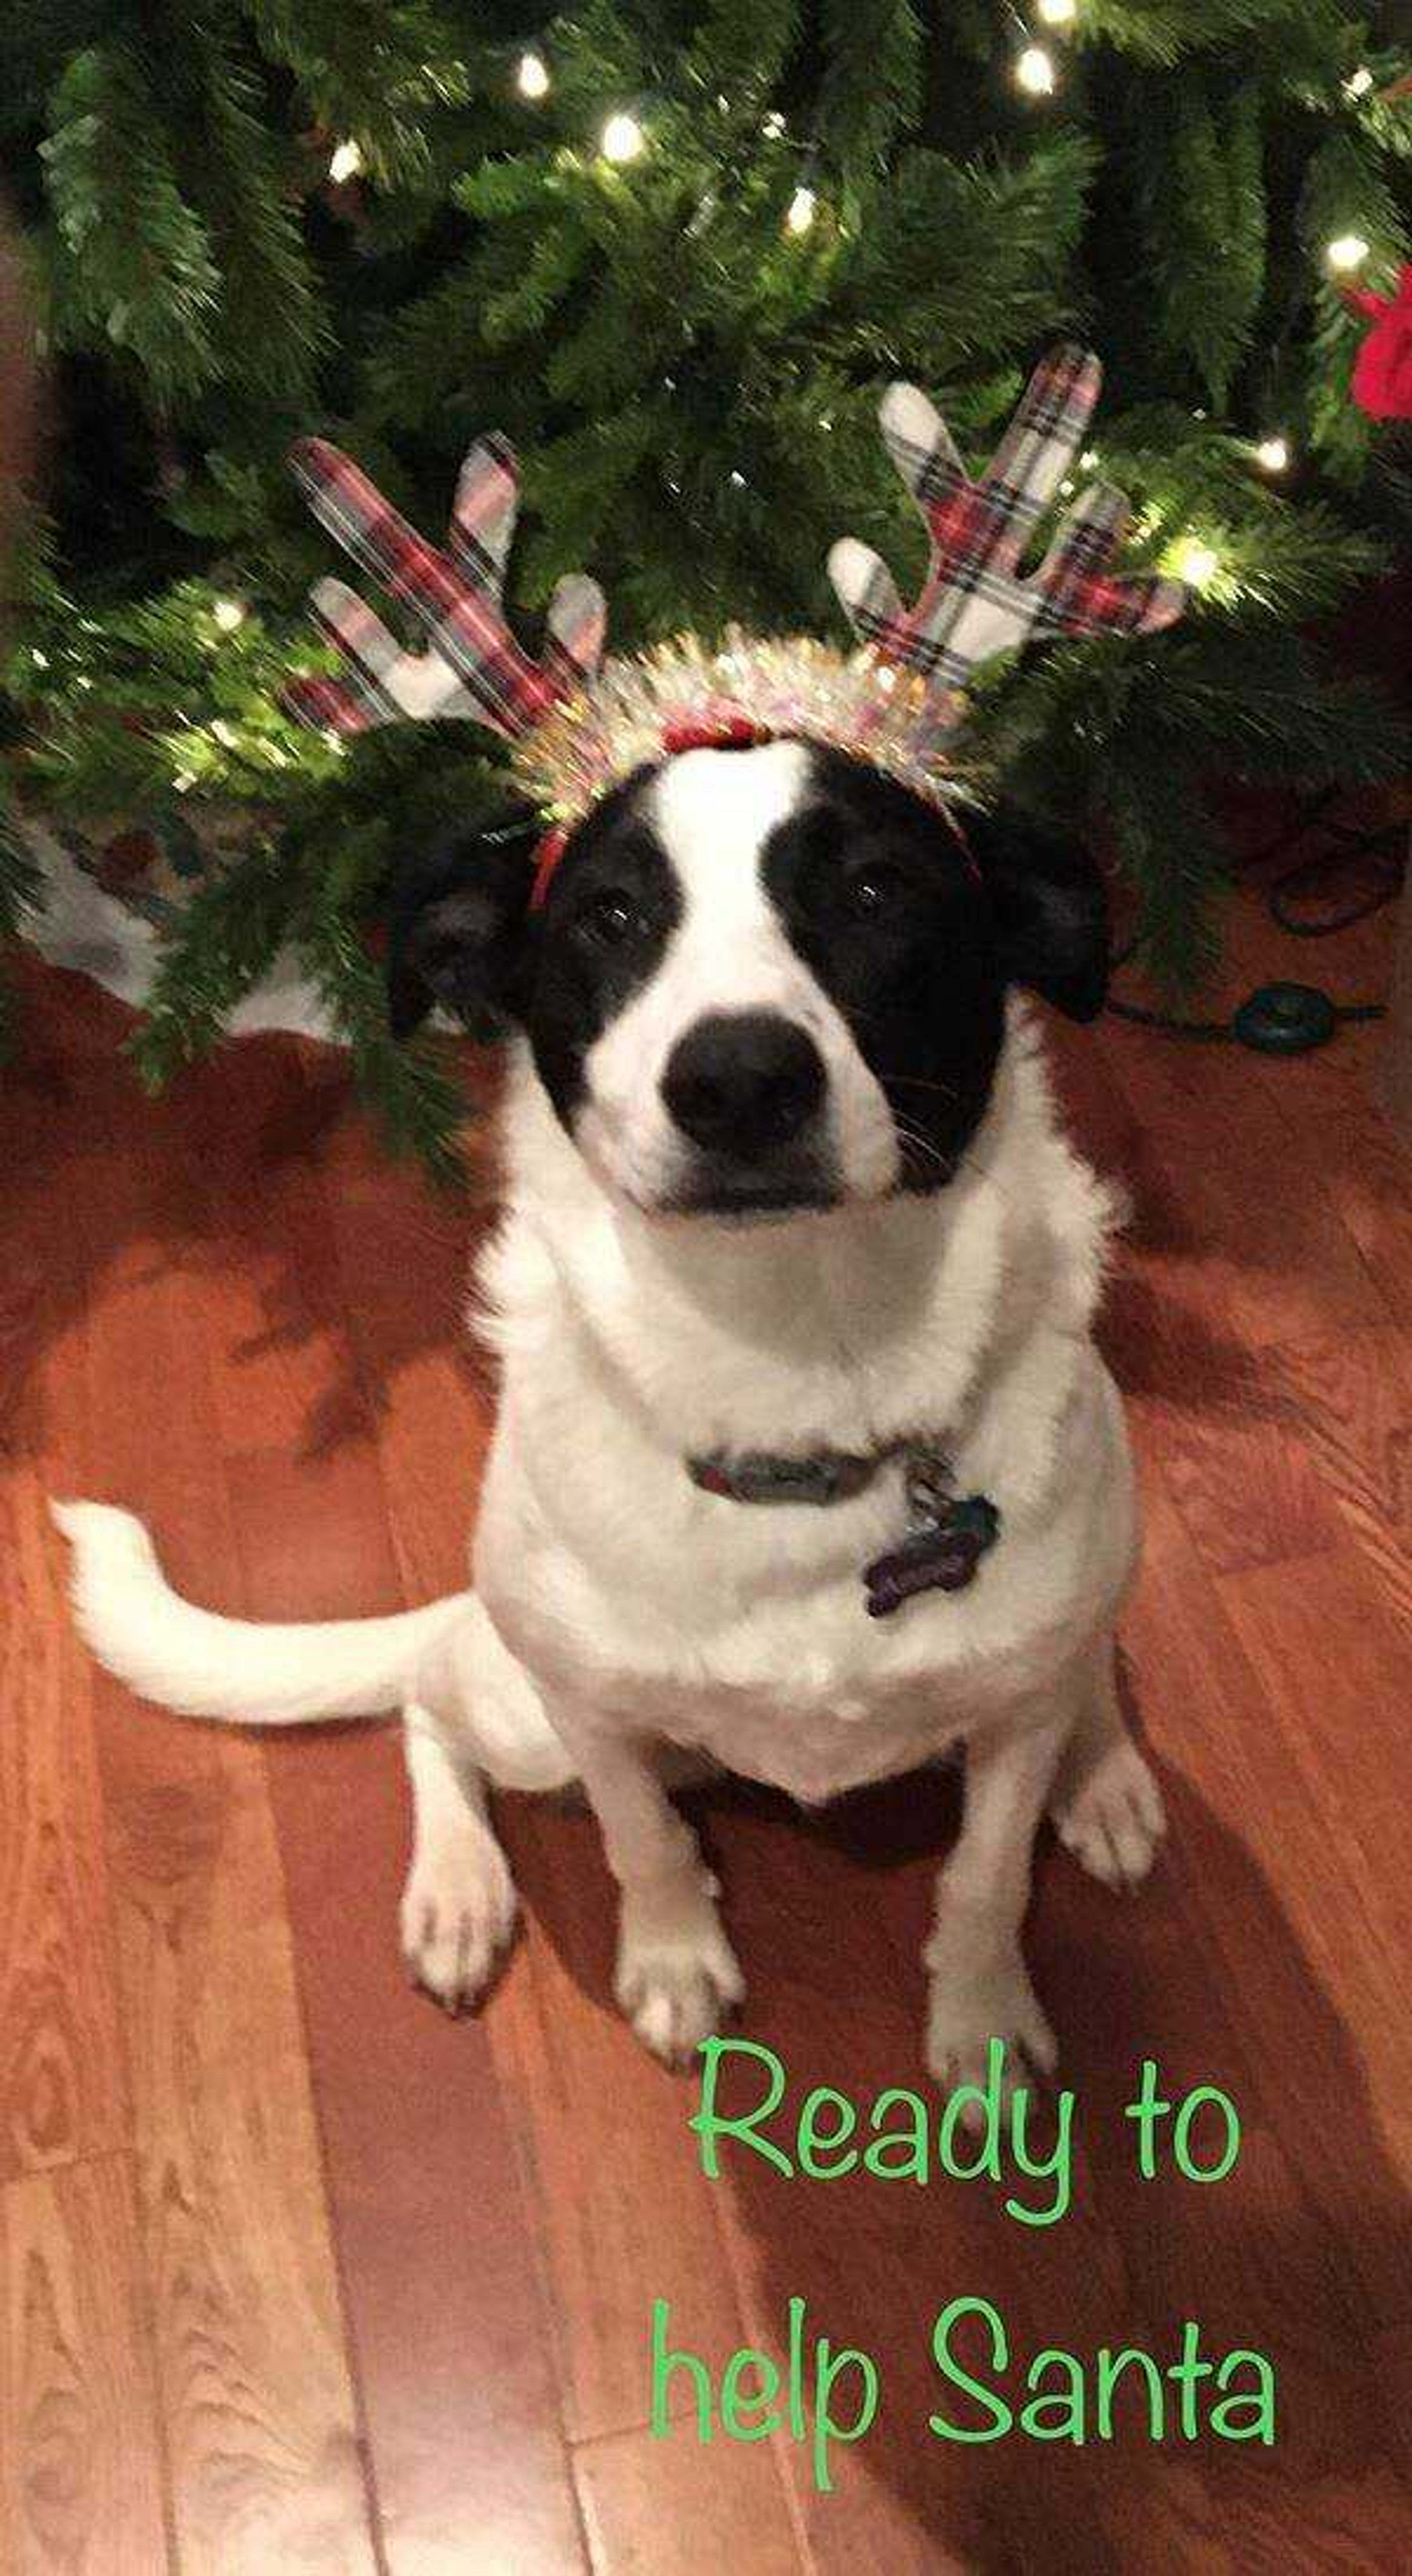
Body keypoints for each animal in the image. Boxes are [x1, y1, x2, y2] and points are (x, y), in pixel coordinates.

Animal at [55, 737, 1165, 2102]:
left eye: (876, 891)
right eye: (611, 916)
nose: (738, 1080)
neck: (800, 1363)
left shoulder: (1009, 1719)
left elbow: (986, 1876)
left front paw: (985, 2020)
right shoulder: (591, 1711)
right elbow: (642, 1839)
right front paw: (676, 1959)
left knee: (1087, 1661)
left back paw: (1105, 1770)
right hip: (523, 1700)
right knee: (430, 1698)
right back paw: (460, 1891)